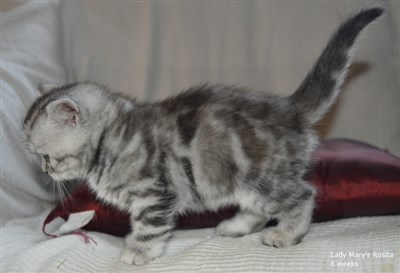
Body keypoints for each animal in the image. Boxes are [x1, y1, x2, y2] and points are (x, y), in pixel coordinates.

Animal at [22, 7, 384, 264]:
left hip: (266, 179)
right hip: (247, 182)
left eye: (46, 156)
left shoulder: (154, 194)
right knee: (259, 209)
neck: (110, 138)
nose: (44, 171)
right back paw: (236, 226)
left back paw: (286, 234)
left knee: (304, 195)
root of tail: (291, 108)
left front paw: (138, 252)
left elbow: (149, 227)